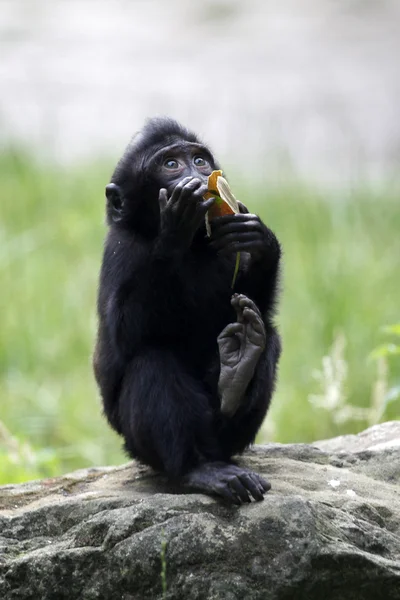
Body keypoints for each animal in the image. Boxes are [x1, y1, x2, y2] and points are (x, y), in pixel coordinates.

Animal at [94, 116, 282, 502]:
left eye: (199, 160)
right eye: (171, 164)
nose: (200, 174)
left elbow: (249, 301)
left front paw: (262, 241)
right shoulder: (122, 248)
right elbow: (126, 332)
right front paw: (174, 229)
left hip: (229, 438)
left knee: (267, 334)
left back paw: (238, 368)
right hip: (138, 446)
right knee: (153, 360)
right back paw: (199, 469)